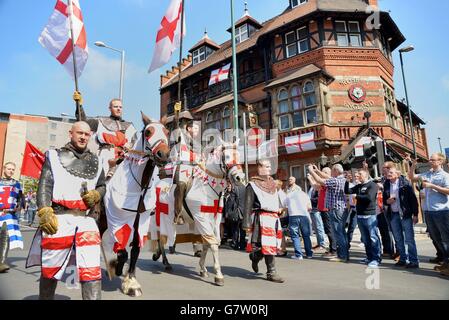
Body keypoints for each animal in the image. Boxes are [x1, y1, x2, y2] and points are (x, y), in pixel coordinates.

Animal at [100, 112, 170, 298]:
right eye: (148, 132)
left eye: (167, 132)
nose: (163, 154)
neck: (139, 187)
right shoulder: (117, 220)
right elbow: (122, 251)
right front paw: (116, 268)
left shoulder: (141, 221)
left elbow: (135, 249)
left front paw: (130, 281)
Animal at [152, 142, 247, 284]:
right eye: (227, 156)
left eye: (239, 156)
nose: (240, 177)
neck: (207, 187)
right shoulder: (201, 219)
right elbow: (212, 244)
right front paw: (218, 275)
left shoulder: (215, 220)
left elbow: (208, 243)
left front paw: (203, 269)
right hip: (160, 218)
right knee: (162, 238)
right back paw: (166, 262)